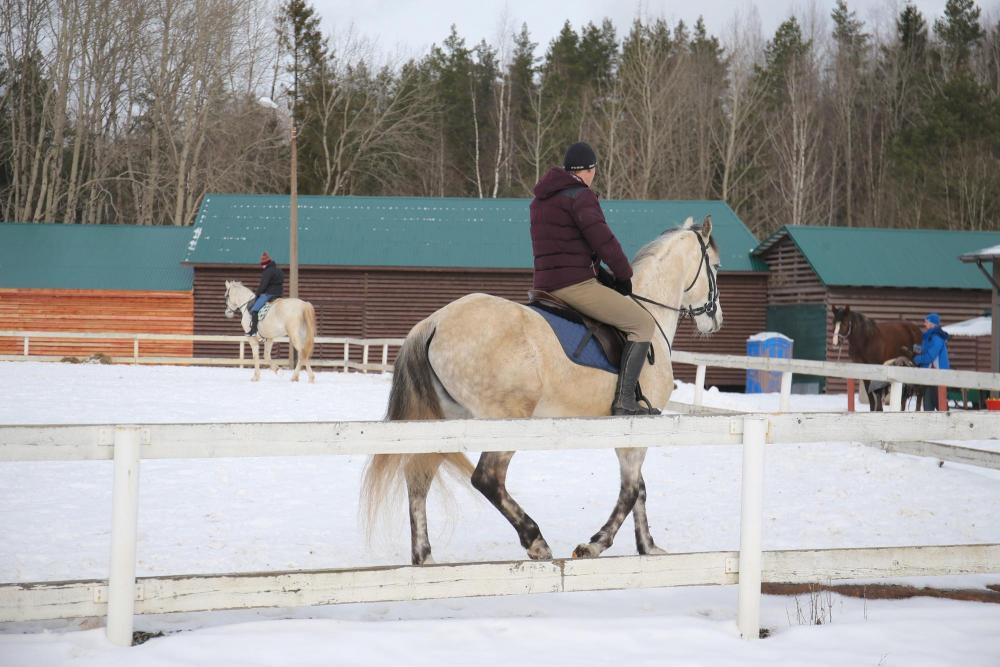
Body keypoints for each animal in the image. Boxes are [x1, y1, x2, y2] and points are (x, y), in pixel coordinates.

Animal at [362, 217, 722, 565]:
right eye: (716, 267)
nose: (716, 319)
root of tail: (434, 322)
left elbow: (639, 490)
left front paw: (647, 546)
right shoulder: (634, 429)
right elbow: (632, 490)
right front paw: (594, 545)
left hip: (445, 422)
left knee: (419, 476)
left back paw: (424, 556)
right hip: (505, 420)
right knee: (487, 478)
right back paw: (535, 541)